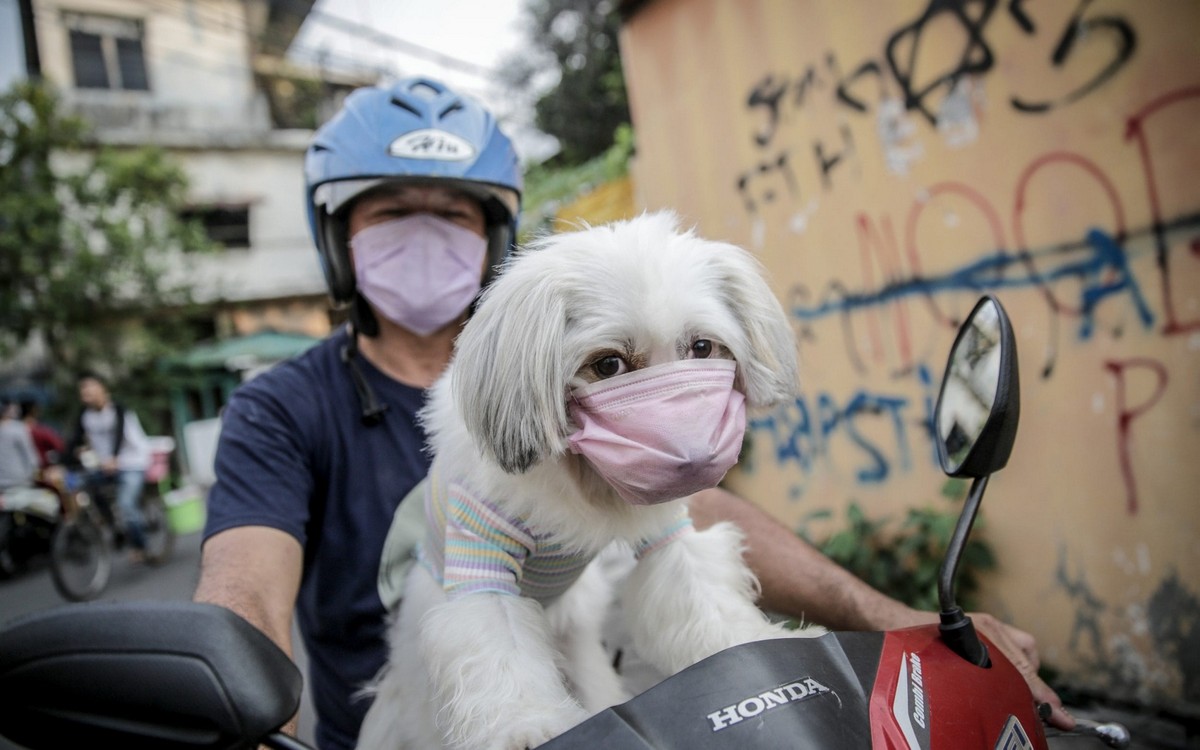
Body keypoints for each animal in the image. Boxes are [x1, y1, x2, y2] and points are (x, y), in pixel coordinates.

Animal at [357, 211, 825, 748]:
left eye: (703, 347)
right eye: (608, 365)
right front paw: (527, 726)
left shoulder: (664, 531)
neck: (585, 475)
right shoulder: (483, 557)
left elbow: (699, 594)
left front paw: (751, 644)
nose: (688, 454)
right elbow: (498, 643)